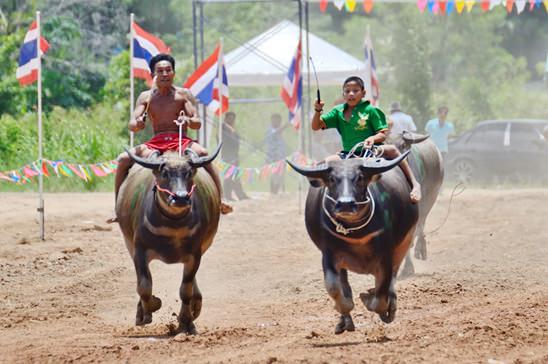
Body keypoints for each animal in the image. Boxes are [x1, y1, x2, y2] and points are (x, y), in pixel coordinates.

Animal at [116, 146, 222, 334]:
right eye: (164, 173)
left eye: (188, 173)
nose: (180, 197)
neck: (173, 226)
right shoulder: (139, 251)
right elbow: (144, 286)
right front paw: (150, 308)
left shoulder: (195, 254)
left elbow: (185, 290)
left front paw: (185, 322)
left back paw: (195, 306)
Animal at [286, 151, 416, 336]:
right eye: (332, 178)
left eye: (360, 177)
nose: (345, 204)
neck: (355, 233)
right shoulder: (329, 254)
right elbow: (334, 287)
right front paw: (344, 307)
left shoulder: (386, 255)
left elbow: (381, 294)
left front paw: (371, 299)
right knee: (344, 284)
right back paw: (345, 321)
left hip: (405, 242)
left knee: (392, 277)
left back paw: (390, 306)